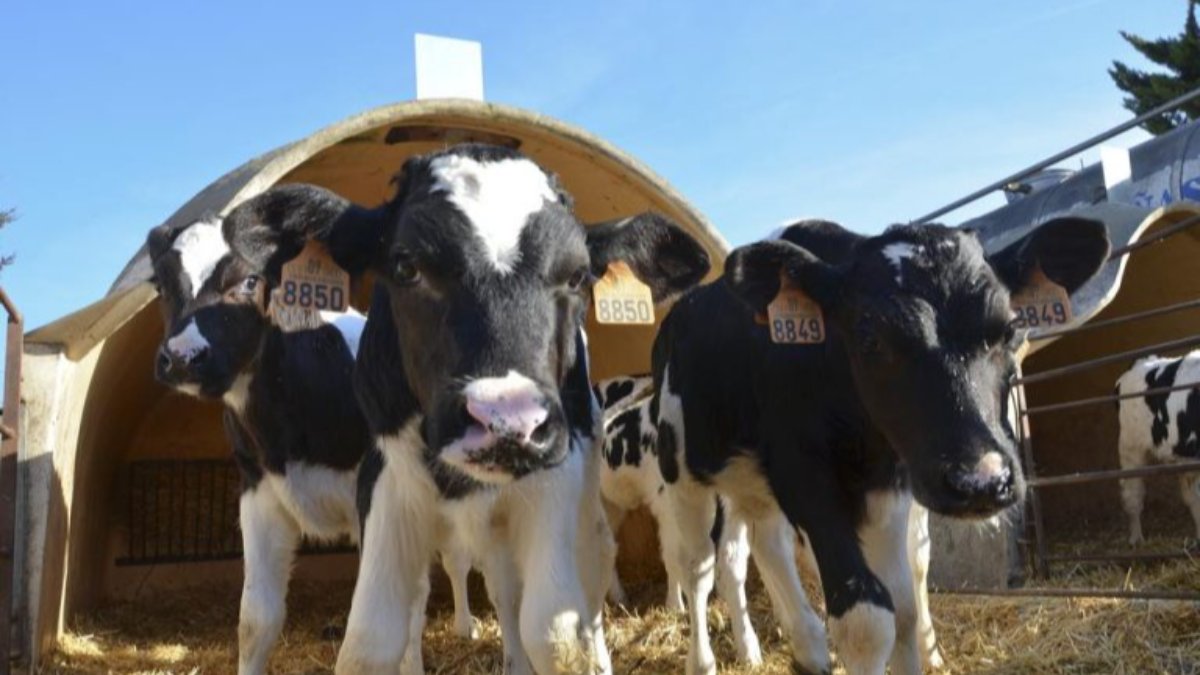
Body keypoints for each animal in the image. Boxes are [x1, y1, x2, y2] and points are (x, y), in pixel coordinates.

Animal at [147, 208, 479, 675]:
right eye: (161, 285)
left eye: (249, 281)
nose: (181, 357)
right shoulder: (258, 489)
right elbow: (256, 620)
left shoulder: (381, 486)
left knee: (454, 561)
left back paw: (466, 627)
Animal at [220, 143, 712, 675]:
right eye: (406, 266)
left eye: (577, 276)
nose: (508, 423)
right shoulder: (382, 480)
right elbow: (369, 640)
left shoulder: (555, 477)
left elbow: (556, 633)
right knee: (504, 588)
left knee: (590, 567)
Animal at [651, 216, 1110, 675]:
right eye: (870, 338)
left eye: (1010, 329)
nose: (981, 481)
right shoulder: (804, 477)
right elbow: (867, 624)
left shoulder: (889, 486)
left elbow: (904, 609)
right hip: (681, 473)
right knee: (698, 566)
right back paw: (703, 661)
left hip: (750, 483)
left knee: (765, 545)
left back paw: (808, 647)